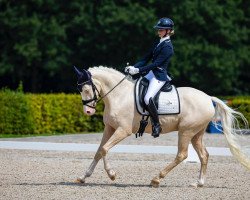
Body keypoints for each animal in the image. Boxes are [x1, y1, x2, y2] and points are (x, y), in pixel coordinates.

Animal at [73, 66, 249, 188]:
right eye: (79, 89)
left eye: (87, 89)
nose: (88, 111)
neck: (119, 96)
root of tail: (208, 98)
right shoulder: (109, 128)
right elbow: (99, 151)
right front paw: (83, 177)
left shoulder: (123, 130)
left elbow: (104, 149)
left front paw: (112, 174)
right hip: (196, 133)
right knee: (204, 155)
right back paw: (198, 183)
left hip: (186, 131)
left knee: (182, 155)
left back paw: (156, 179)